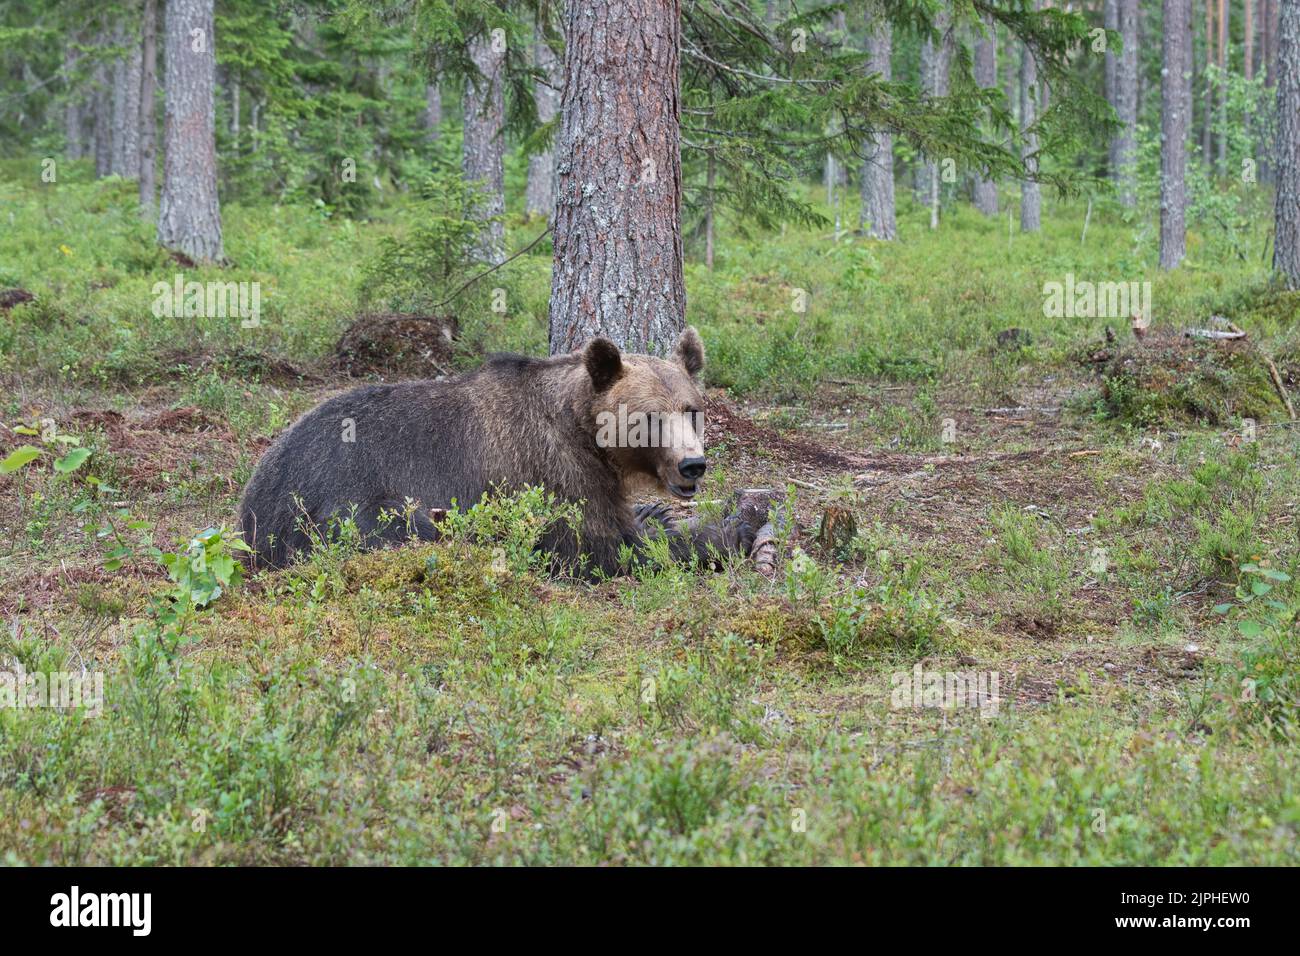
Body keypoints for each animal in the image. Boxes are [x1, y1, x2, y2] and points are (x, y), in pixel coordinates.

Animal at [239, 327, 759, 574]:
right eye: (650, 417)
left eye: (692, 410)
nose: (692, 465)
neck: (582, 431)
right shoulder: (550, 470)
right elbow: (603, 546)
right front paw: (729, 531)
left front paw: (654, 513)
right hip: (339, 501)